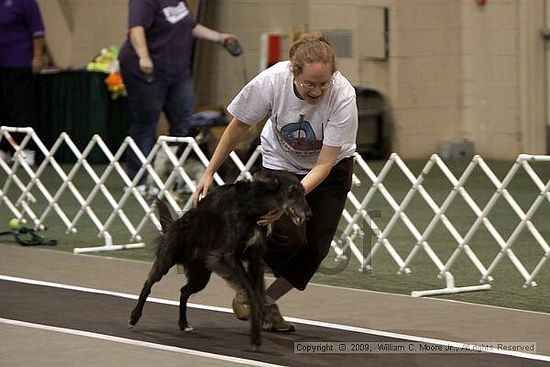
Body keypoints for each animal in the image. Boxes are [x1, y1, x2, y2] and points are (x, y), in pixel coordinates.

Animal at [127, 172, 312, 350]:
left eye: (303, 191)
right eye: (292, 190)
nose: (309, 214)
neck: (251, 206)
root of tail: (174, 223)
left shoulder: (254, 257)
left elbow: (258, 293)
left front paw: (260, 324)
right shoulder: (225, 256)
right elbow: (251, 291)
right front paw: (255, 337)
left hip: (201, 276)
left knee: (184, 291)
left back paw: (184, 323)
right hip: (167, 259)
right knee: (149, 283)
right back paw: (134, 317)